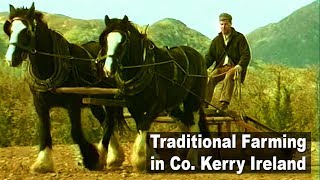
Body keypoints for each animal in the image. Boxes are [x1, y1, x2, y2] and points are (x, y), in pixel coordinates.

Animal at [4, 2, 126, 172]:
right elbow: (44, 130)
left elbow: (75, 132)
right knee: (104, 120)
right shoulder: (40, 103)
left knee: (109, 121)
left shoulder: (72, 103)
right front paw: (42, 163)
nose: (10, 59)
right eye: (9, 30)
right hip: (94, 101)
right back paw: (113, 156)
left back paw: (108, 156)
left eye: (26, 30)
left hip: (108, 97)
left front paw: (90, 159)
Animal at [99, 15, 210, 170]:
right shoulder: (134, 106)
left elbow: (144, 125)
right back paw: (183, 150)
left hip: (193, 99)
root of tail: (197, 55)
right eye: (105, 40)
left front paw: (140, 160)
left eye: (123, 41)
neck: (143, 68)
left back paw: (192, 158)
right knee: (184, 121)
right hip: (173, 105)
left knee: (193, 125)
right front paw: (150, 157)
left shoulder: (157, 105)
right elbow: (141, 127)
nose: (108, 70)